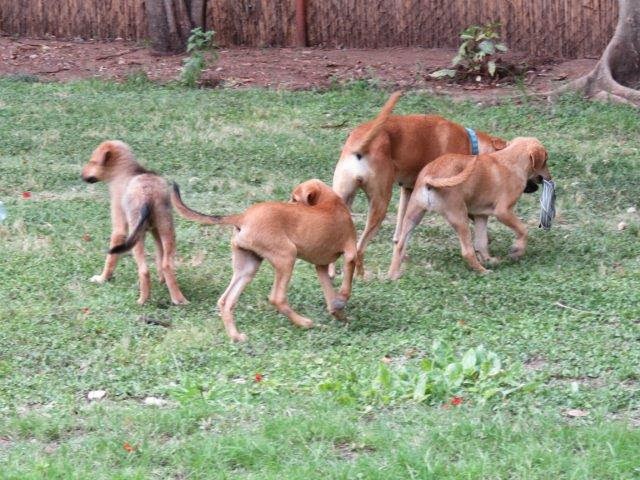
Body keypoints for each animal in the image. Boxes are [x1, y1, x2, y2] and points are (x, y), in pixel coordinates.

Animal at [81, 140, 188, 305]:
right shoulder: (155, 232)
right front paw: (162, 281)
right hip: (167, 229)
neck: (124, 172)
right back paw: (178, 299)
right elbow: (159, 257)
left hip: (136, 238)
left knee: (144, 270)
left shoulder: (120, 229)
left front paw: (102, 279)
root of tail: (148, 193)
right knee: (167, 264)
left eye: (92, 161)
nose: (81, 175)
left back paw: (142, 300)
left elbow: (110, 259)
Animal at [170, 179, 358, 343]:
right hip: (287, 256)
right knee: (277, 298)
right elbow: (346, 287)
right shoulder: (351, 253)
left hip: (248, 267)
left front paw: (339, 313)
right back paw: (305, 323)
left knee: (225, 300)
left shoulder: (321, 266)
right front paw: (341, 303)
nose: (288, 203)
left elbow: (330, 295)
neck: (330, 201)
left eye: (294, 199)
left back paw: (236, 336)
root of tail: (243, 216)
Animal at [388, 137, 551, 278]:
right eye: (545, 161)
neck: (511, 159)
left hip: (413, 215)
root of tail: (431, 176)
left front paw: (489, 259)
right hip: (459, 216)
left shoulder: (481, 216)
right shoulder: (503, 212)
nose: (550, 178)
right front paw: (517, 251)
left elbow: (481, 242)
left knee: (400, 245)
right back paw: (483, 271)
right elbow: (523, 230)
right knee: (467, 251)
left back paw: (393, 275)